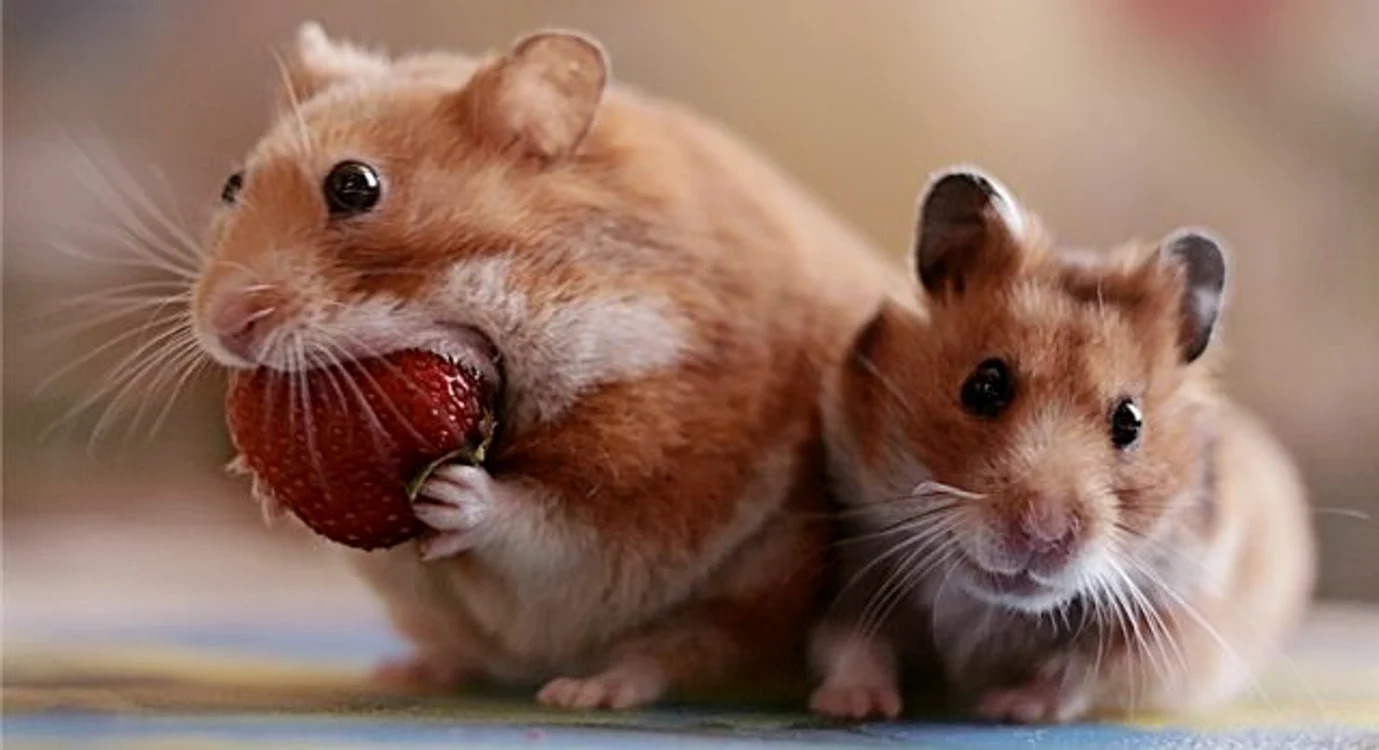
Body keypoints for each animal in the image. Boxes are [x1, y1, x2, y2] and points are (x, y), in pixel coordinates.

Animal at [188, 23, 895, 709]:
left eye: (354, 184)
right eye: (232, 185)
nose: (224, 326)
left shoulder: (646, 472)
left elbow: (549, 530)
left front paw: (454, 495)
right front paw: (260, 486)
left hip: (751, 589)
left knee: (678, 655)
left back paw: (586, 693)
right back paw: (408, 672)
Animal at [809, 166, 1316, 722]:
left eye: (1130, 421)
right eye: (984, 386)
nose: (1043, 533)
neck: (991, 608)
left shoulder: (1169, 628)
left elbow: (1077, 675)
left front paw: (1004, 707)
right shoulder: (857, 569)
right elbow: (852, 643)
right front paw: (853, 707)